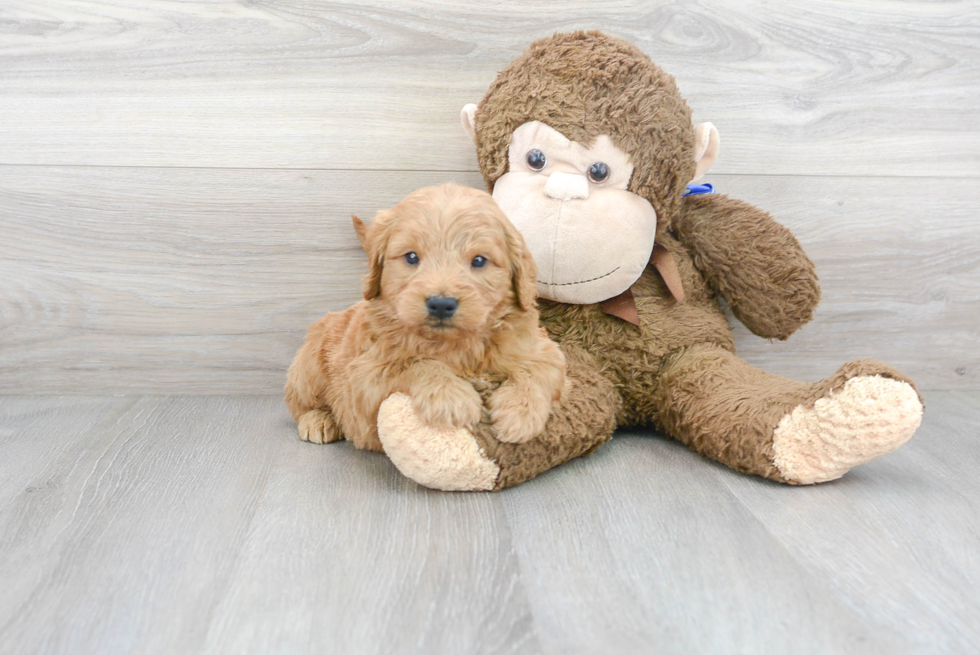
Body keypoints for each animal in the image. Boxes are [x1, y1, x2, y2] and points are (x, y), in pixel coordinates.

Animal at [284, 183, 564, 452]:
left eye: (479, 260)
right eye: (411, 257)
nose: (441, 304)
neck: (456, 346)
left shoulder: (543, 349)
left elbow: (535, 371)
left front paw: (521, 413)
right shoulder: (365, 375)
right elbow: (415, 363)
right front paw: (450, 397)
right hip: (309, 367)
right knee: (299, 403)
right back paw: (318, 419)